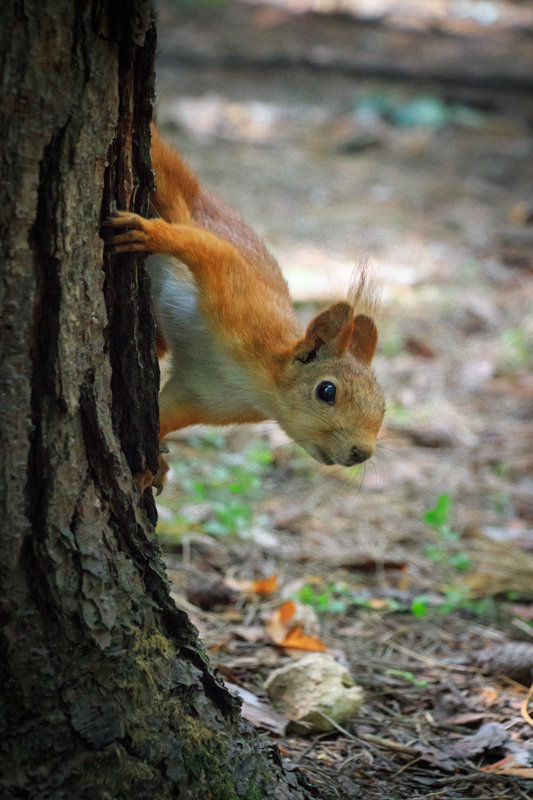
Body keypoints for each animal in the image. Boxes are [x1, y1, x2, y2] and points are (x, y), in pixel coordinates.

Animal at [102, 126, 384, 490]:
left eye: (383, 405)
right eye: (326, 391)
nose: (361, 453)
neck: (259, 382)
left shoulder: (200, 396)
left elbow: (167, 415)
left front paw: (153, 465)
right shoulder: (240, 297)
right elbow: (205, 249)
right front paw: (151, 235)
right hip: (172, 189)